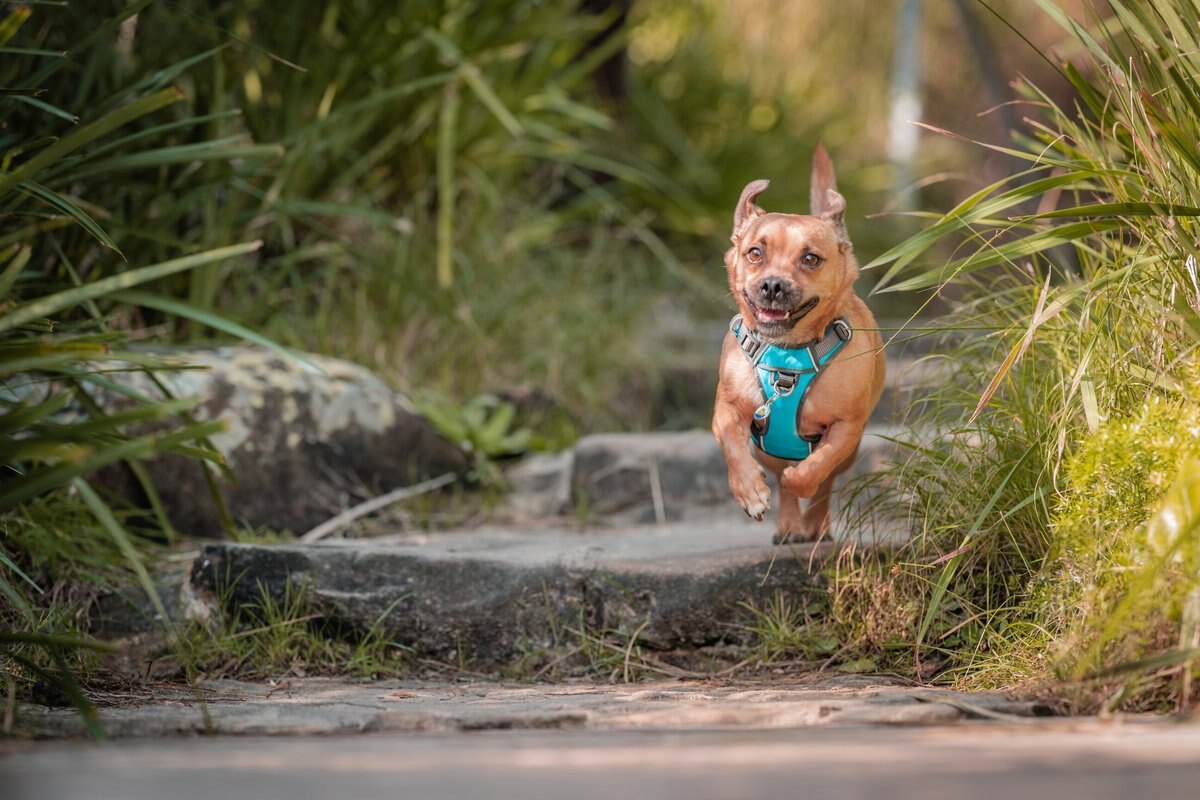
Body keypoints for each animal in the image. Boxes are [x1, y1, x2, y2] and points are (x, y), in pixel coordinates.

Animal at [710, 144, 883, 544]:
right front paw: (750, 492)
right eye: (754, 253)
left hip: (848, 453)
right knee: (778, 474)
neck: (787, 354)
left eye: (810, 258)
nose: (773, 285)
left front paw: (800, 483)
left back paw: (814, 526)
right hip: (769, 449)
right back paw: (789, 524)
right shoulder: (727, 409)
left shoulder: (846, 428)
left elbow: (817, 467)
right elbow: (733, 445)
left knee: (825, 483)